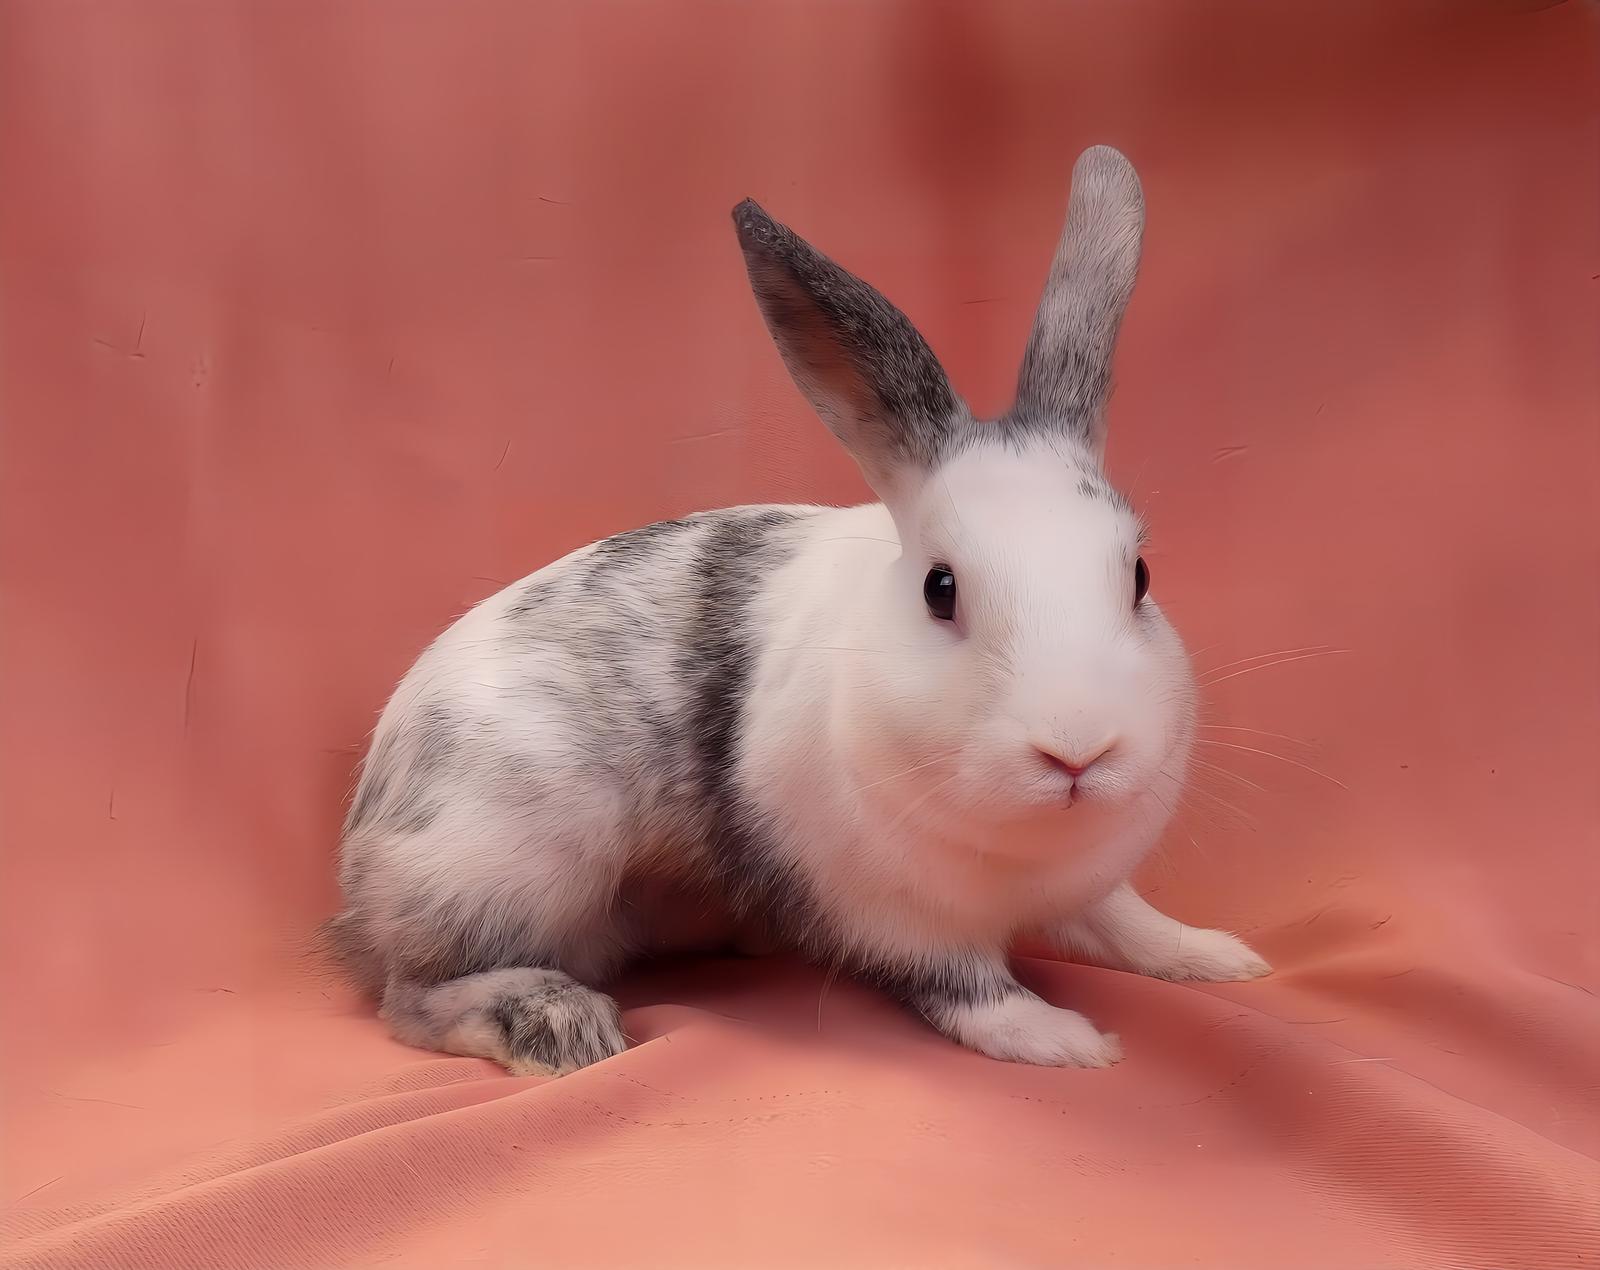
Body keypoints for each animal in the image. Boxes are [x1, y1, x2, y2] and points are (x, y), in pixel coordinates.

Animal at [328, 146, 1271, 1078]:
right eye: (940, 588)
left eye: (1140, 576)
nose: (1078, 749)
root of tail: (359, 854)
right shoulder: (899, 919)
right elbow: (971, 993)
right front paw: (1066, 1040)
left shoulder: (1093, 888)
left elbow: (1127, 924)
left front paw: (1221, 957)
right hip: (501, 869)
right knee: (412, 998)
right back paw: (563, 1028)